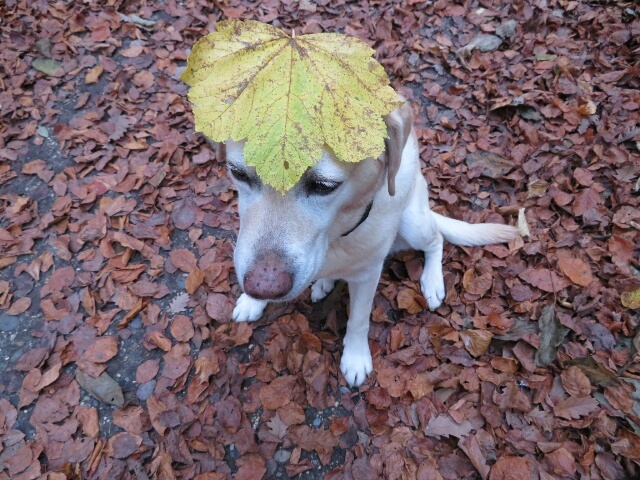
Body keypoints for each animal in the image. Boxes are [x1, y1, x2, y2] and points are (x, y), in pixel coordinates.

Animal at [215, 99, 520, 388]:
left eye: (324, 186)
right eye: (238, 173)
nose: (262, 288)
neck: (335, 236)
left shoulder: (367, 275)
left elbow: (359, 321)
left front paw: (355, 358)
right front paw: (251, 301)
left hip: (414, 222)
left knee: (436, 240)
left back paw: (432, 281)